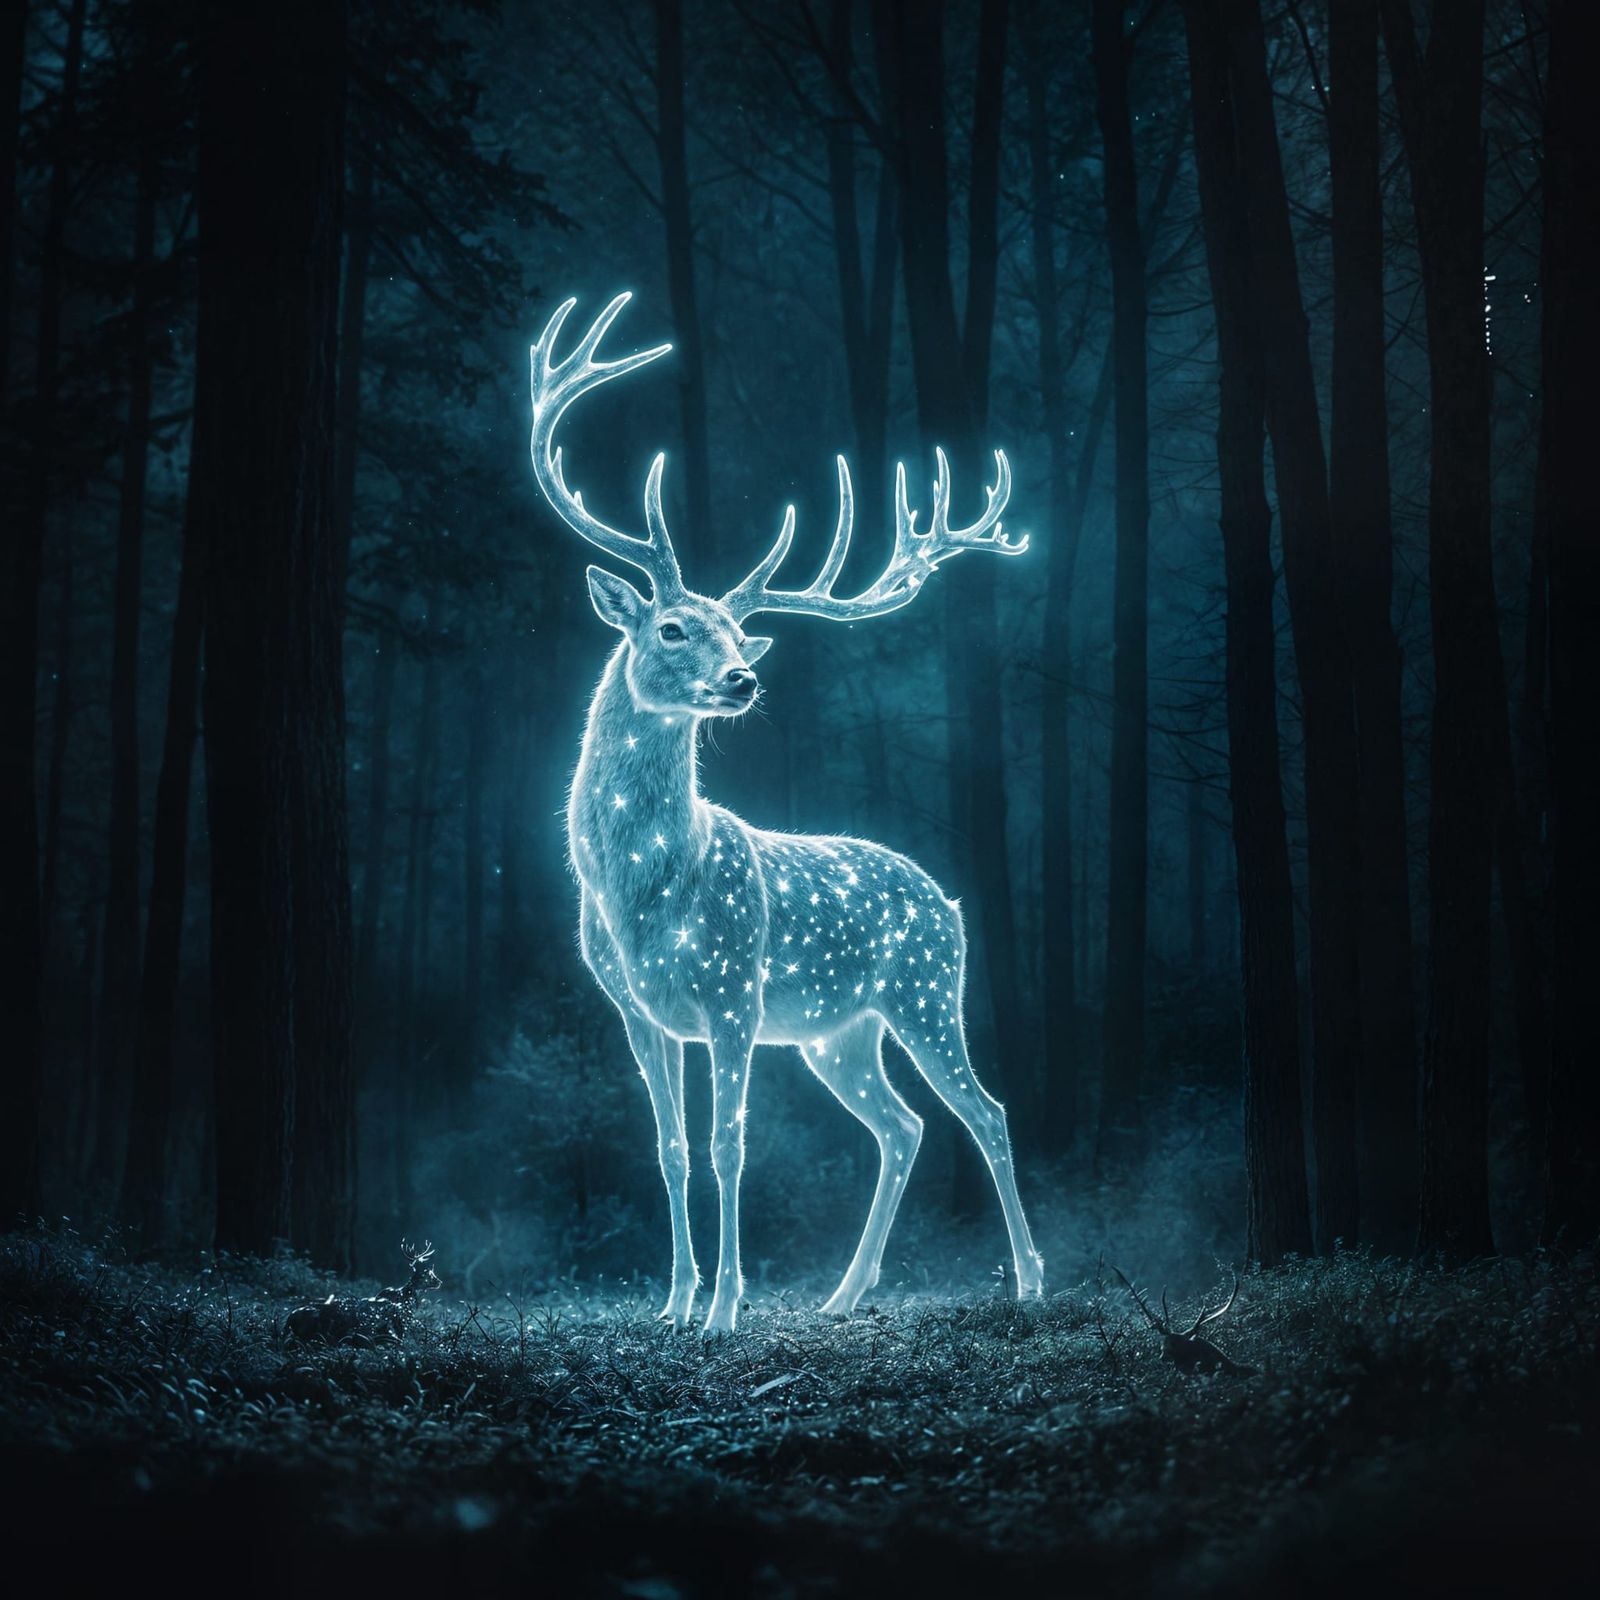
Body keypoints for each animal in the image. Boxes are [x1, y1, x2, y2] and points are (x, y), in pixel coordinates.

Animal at [530, 293, 1045, 1335]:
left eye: (738, 632)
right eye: (673, 627)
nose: (742, 678)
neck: (643, 894)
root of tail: (948, 902)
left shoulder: (733, 992)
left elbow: (731, 1147)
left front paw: (726, 1310)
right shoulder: (635, 1009)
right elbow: (670, 1150)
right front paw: (674, 1304)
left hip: (926, 994)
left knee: (986, 1113)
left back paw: (1031, 1282)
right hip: (836, 1033)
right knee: (904, 1126)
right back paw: (843, 1296)